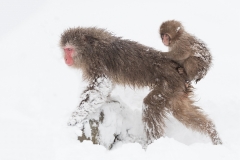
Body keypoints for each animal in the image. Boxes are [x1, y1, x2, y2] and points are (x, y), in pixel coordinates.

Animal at [59, 26, 221, 145]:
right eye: (64, 50)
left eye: (69, 49)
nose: (65, 59)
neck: (91, 48)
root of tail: (182, 72)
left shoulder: (98, 62)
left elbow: (100, 88)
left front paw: (74, 119)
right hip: (176, 90)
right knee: (182, 113)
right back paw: (213, 133)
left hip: (168, 85)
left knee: (150, 106)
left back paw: (153, 143)